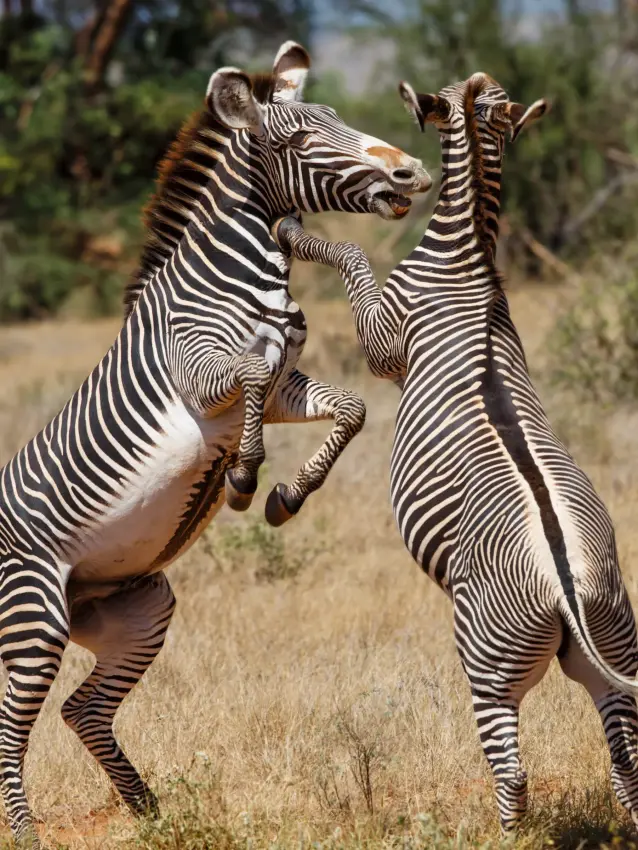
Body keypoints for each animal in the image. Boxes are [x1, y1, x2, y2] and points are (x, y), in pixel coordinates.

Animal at [0, 42, 431, 847]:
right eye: (302, 138)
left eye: (337, 117)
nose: (412, 172)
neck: (245, 275)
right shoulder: (205, 380)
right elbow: (253, 374)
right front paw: (244, 477)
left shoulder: (290, 388)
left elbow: (352, 408)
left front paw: (289, 495)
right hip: (33, 612)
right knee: (13, 723)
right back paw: (25, 829)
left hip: (135, 608)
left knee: (82, 708)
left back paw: (148, 809)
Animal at [273, 72, 638, 833]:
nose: (401, 175)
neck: (466, 259)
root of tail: (565, 583)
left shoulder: (384, 342)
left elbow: (353, 258)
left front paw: (293, 231)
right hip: (612, 645)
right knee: (627, 766)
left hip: (487, 662)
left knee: (513, 771)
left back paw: (507, 837)